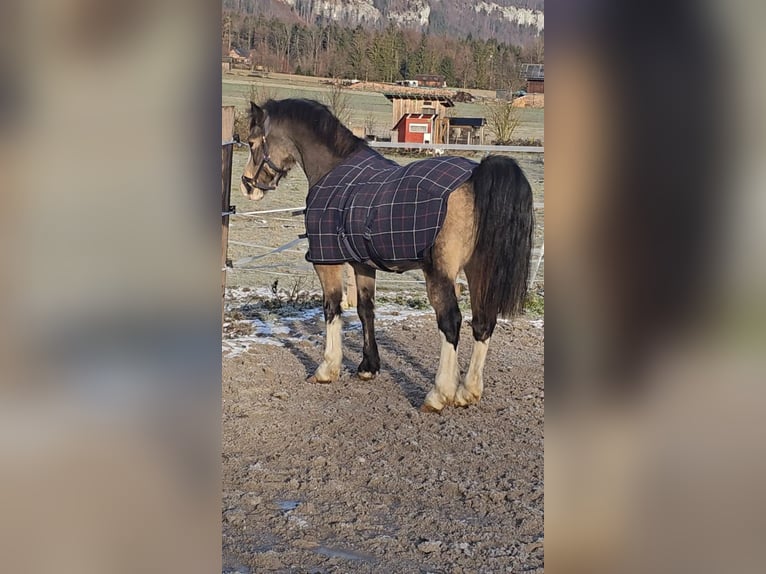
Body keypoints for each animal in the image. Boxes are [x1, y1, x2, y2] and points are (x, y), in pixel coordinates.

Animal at [240, 99, 536, 414]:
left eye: (252, 142)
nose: (247, 185)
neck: (333, 168)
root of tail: (477, 174)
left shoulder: (325, 260)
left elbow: (332, 308)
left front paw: (327, 368)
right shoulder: (362, 264)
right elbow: (365, 310)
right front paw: (368, 366)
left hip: (441, 274)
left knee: (451, 322)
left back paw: (439, 394)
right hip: (479, 269)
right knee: (483, 322)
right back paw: (468, 392)